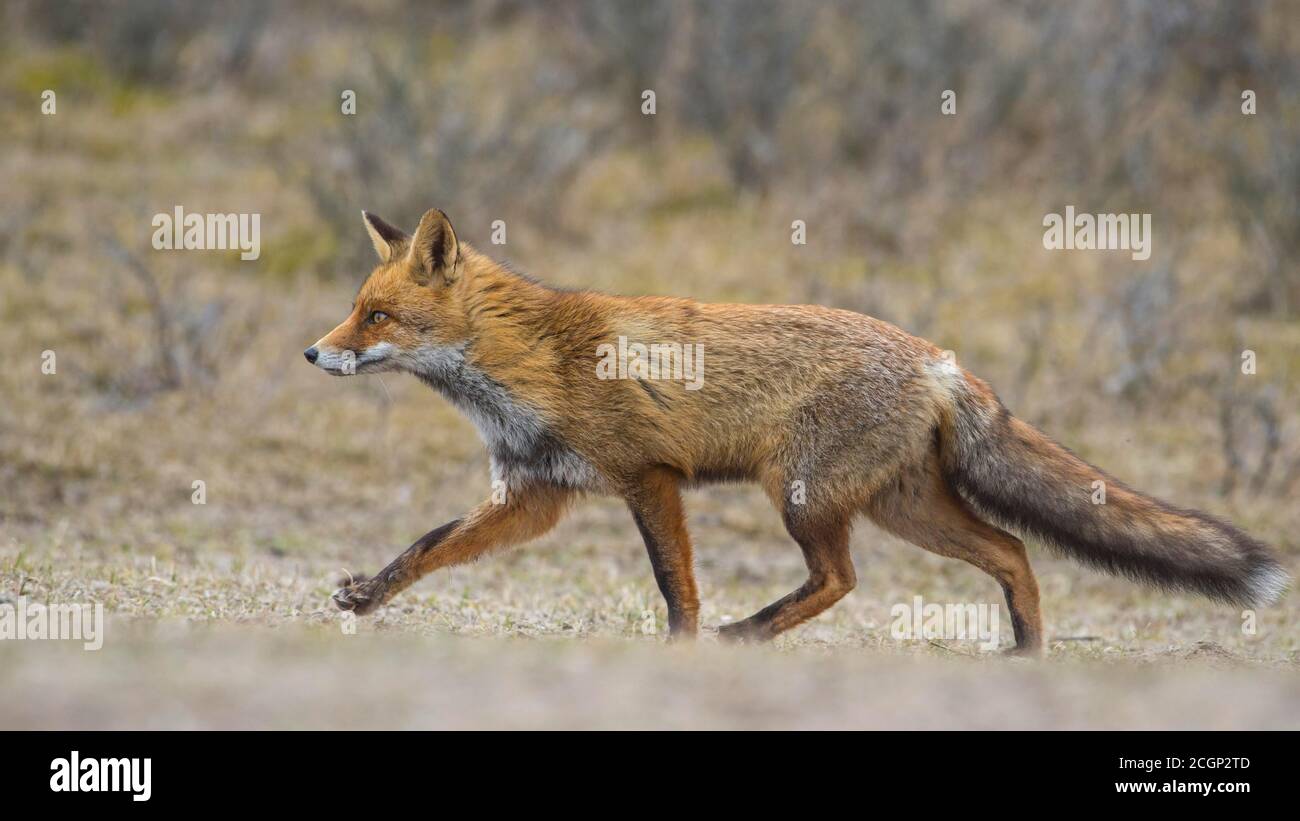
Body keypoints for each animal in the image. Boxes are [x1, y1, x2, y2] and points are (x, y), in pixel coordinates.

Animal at [306, 207, 1289, 652]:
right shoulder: (534, 493)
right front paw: (366, 598)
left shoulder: (646, 476)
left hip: (804, 494)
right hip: (901, 506)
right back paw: (1025, 652)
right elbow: (428, 546)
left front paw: (683, 646)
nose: (313, 352)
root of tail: (938, 357)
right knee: (1011, 550)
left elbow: (674, 583)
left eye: (376, 317)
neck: (531, 359)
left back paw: (750, 632)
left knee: (842, 578)